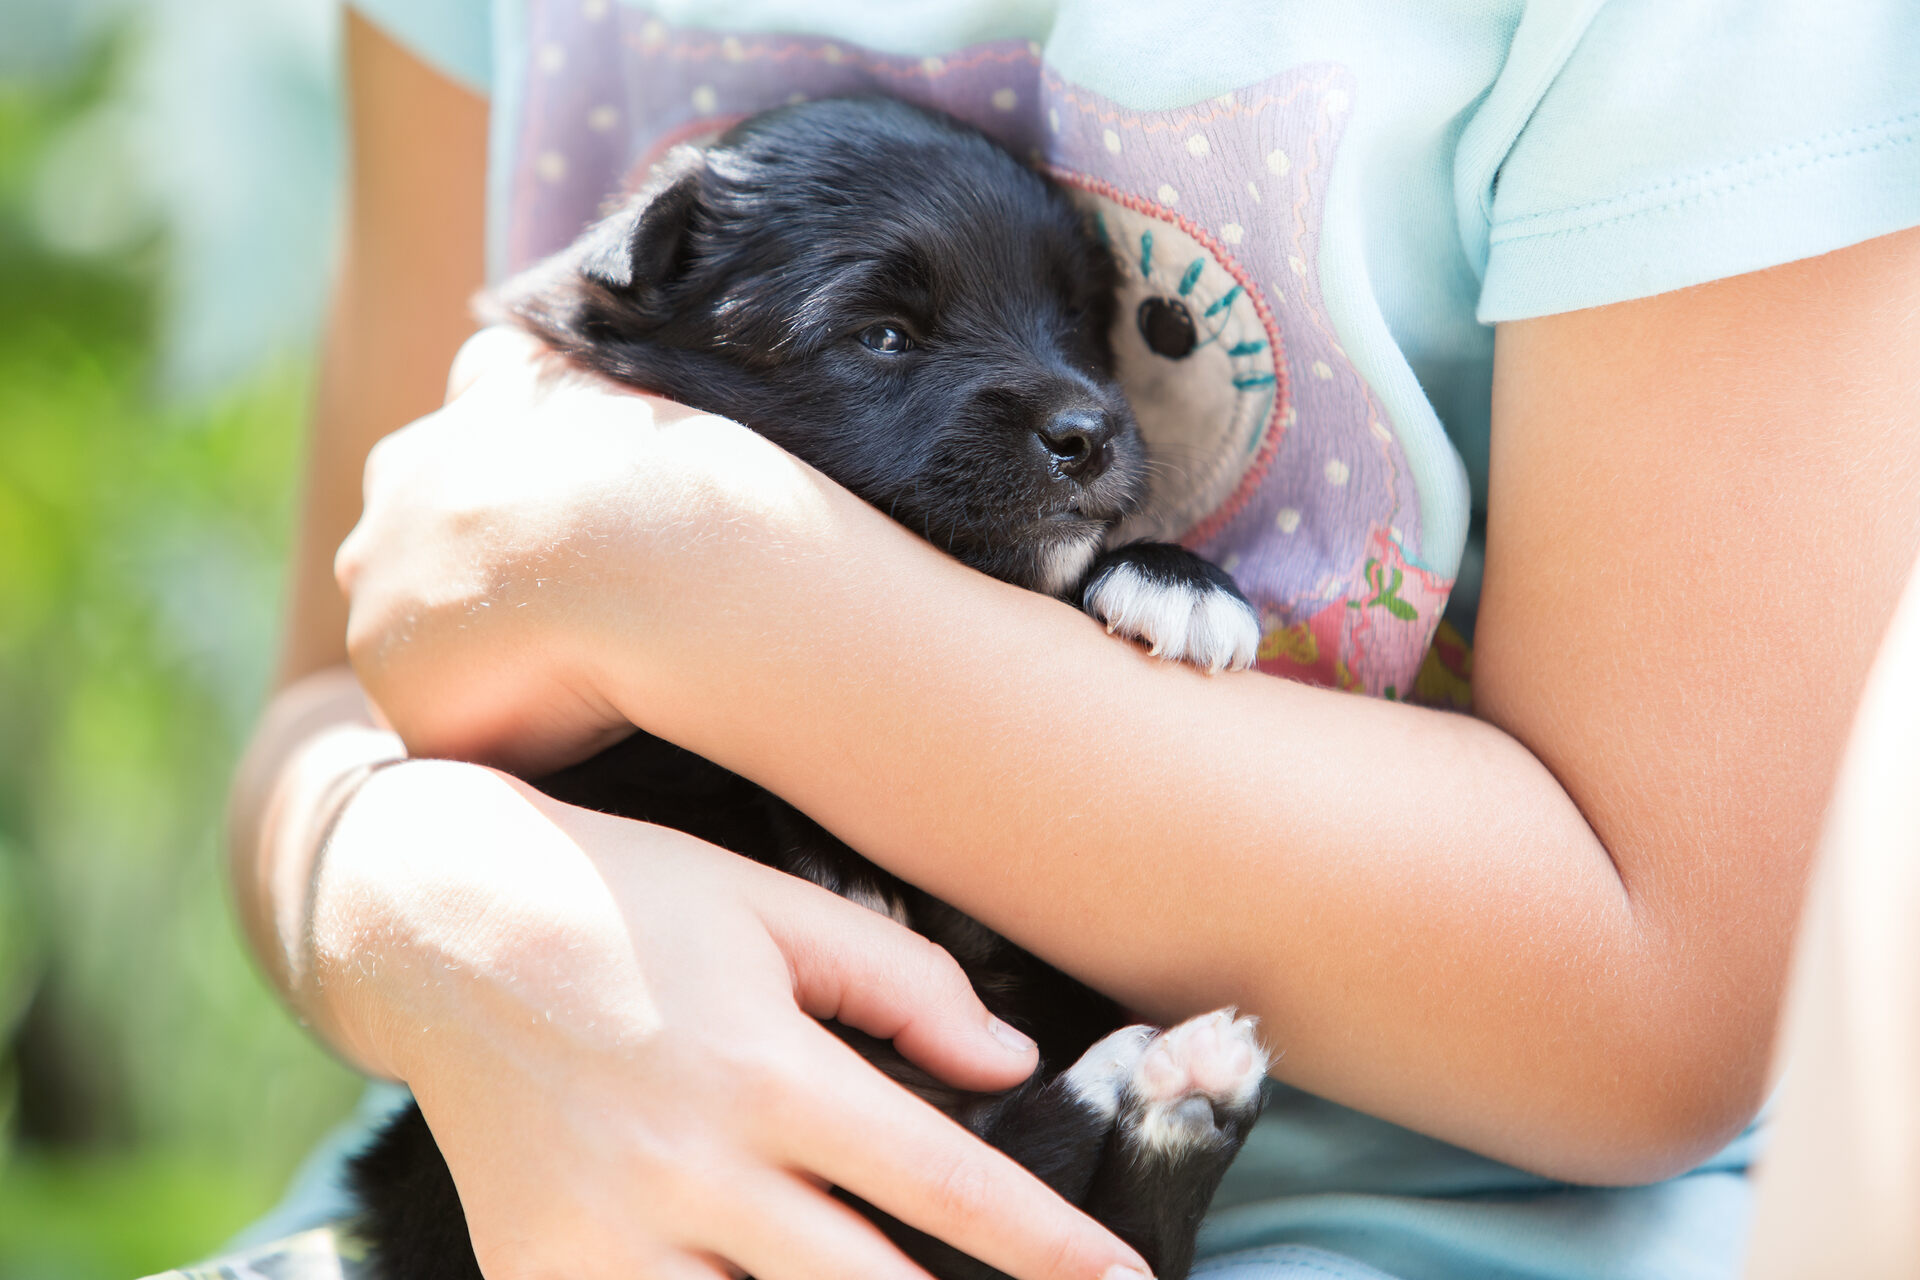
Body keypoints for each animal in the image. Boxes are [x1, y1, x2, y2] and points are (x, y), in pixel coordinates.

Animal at [345, 97, 1274, 1280]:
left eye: (1074, 321)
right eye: (883, 337)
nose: (1089, 432)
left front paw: (1174, 578)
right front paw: (833, 858)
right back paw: (1146, 1086)